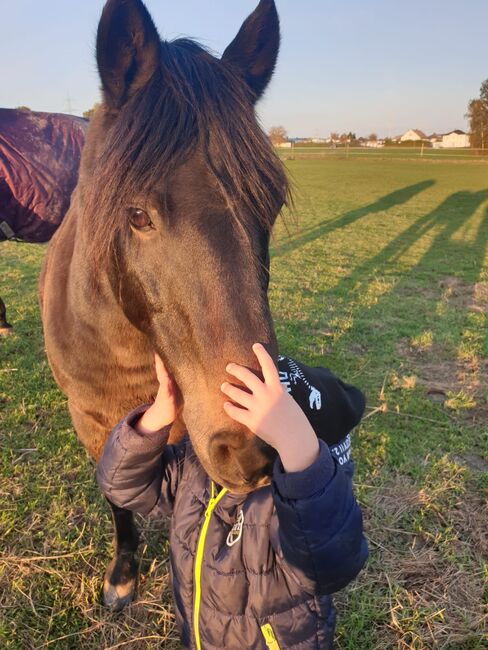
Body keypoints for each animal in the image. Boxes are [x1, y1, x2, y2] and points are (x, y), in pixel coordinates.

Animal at [41, 0, 286, 612]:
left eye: (269, 205)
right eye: (136, 215)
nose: (253, 445)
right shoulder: (94, 422)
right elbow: (118, 500)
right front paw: (123, 574)